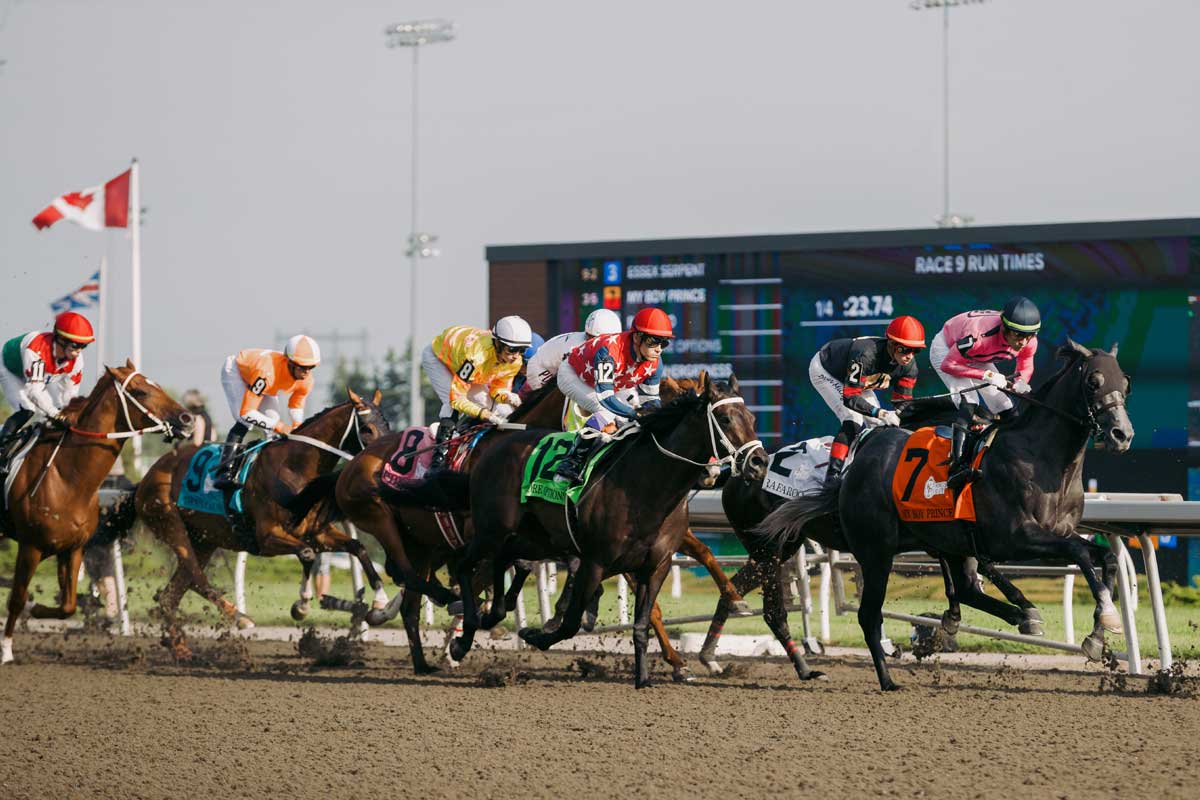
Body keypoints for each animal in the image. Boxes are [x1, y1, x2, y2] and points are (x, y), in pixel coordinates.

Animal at [0, 362, 192, 662]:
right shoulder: (30, 547)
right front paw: (7, 650)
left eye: (158, 385)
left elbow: (68, 605)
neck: (68, 478)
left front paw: (38, 609)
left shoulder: (73, 548)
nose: (186, 419)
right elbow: (18, 598)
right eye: (141, 391)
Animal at [126, 388, 388, 657]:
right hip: (169, 523)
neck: (295, 467)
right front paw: (302, 605)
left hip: (205, 540)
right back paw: (240, 618)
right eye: (367, 429)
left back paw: (180, 647)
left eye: (386, 425)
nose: (382, 462)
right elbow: (307, 554)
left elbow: (356, 547)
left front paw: (380, 604)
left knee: (171, 594)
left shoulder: (316, 532)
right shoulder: (267, 537)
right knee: (196, 577)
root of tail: (146, 478)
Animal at [451, 374, 777, 690]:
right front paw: (535, 634)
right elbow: (570, 623)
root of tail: (494, 445)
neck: (647, 484)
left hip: (534, 539)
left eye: (751, 417)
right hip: (492, 531)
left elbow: (644, 621)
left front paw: (645, 677)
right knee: (466, 567)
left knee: (502, 560)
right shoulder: (596, 561)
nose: (759, 462)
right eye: (724, 418)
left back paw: (490, 615)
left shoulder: (656, 565)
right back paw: (461, 639)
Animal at [758, 340, 1132, 690]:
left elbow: (1103, 558)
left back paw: (1021, 613)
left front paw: (1099, 632)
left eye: (1125, 383)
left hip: (950, 541)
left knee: (964, 588)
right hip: (876, 551)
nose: (1122, 434)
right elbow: (1079, 552)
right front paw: (1108, 616)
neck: (1041, 461)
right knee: (869, 616)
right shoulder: (1015, 539)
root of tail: (854, 466)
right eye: (1093, 381)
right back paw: (887, 680)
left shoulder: (1056, 532)